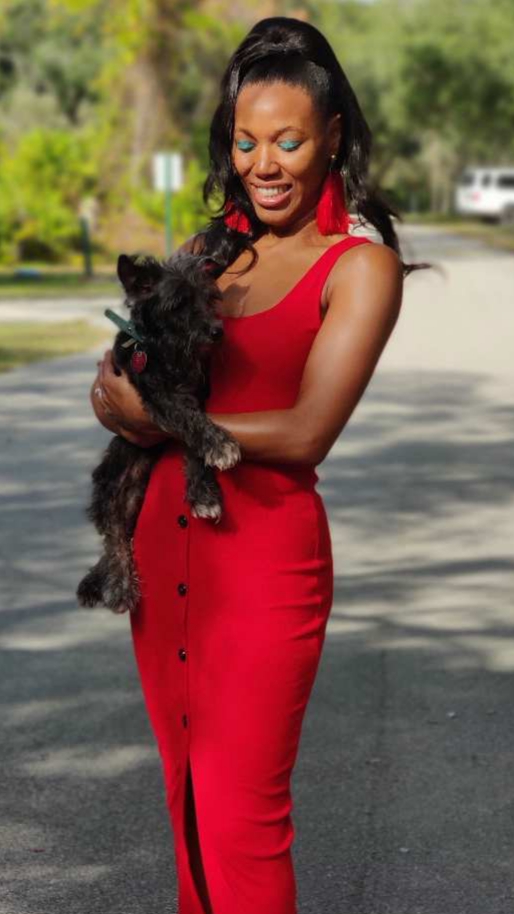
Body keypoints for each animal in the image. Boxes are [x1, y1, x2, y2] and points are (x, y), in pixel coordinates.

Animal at [76, 250, 241, 615]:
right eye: (178, 303)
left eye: (210, 297)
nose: (217, 332)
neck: (167, 349)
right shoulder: (156, 396)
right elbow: (187, 420)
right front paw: (219, 445)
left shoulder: (198, 394)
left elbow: (192, 441)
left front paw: (203, 493)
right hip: (112, 482)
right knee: (113, 537)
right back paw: (119, 586)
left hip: (136, 498)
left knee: (120, 536)